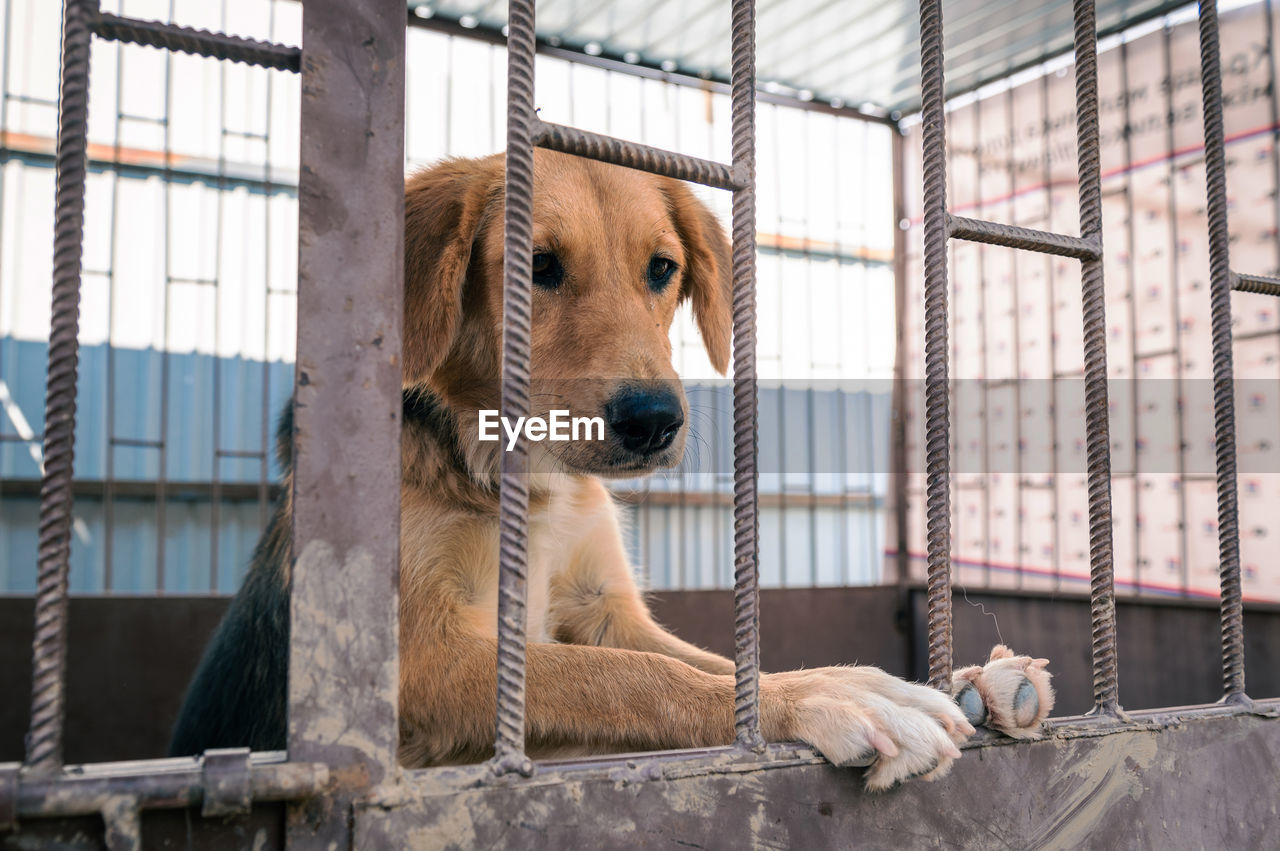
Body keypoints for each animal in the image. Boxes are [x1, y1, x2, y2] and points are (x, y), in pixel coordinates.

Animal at [167, 147, 1049, 788]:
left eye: (662, 269)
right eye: (536, 266)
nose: (655, 420)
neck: (533, 481)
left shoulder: (604, 610)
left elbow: (717, 663)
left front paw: (916, 680)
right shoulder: (424, 660)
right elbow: (637, 678)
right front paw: (838, 699)